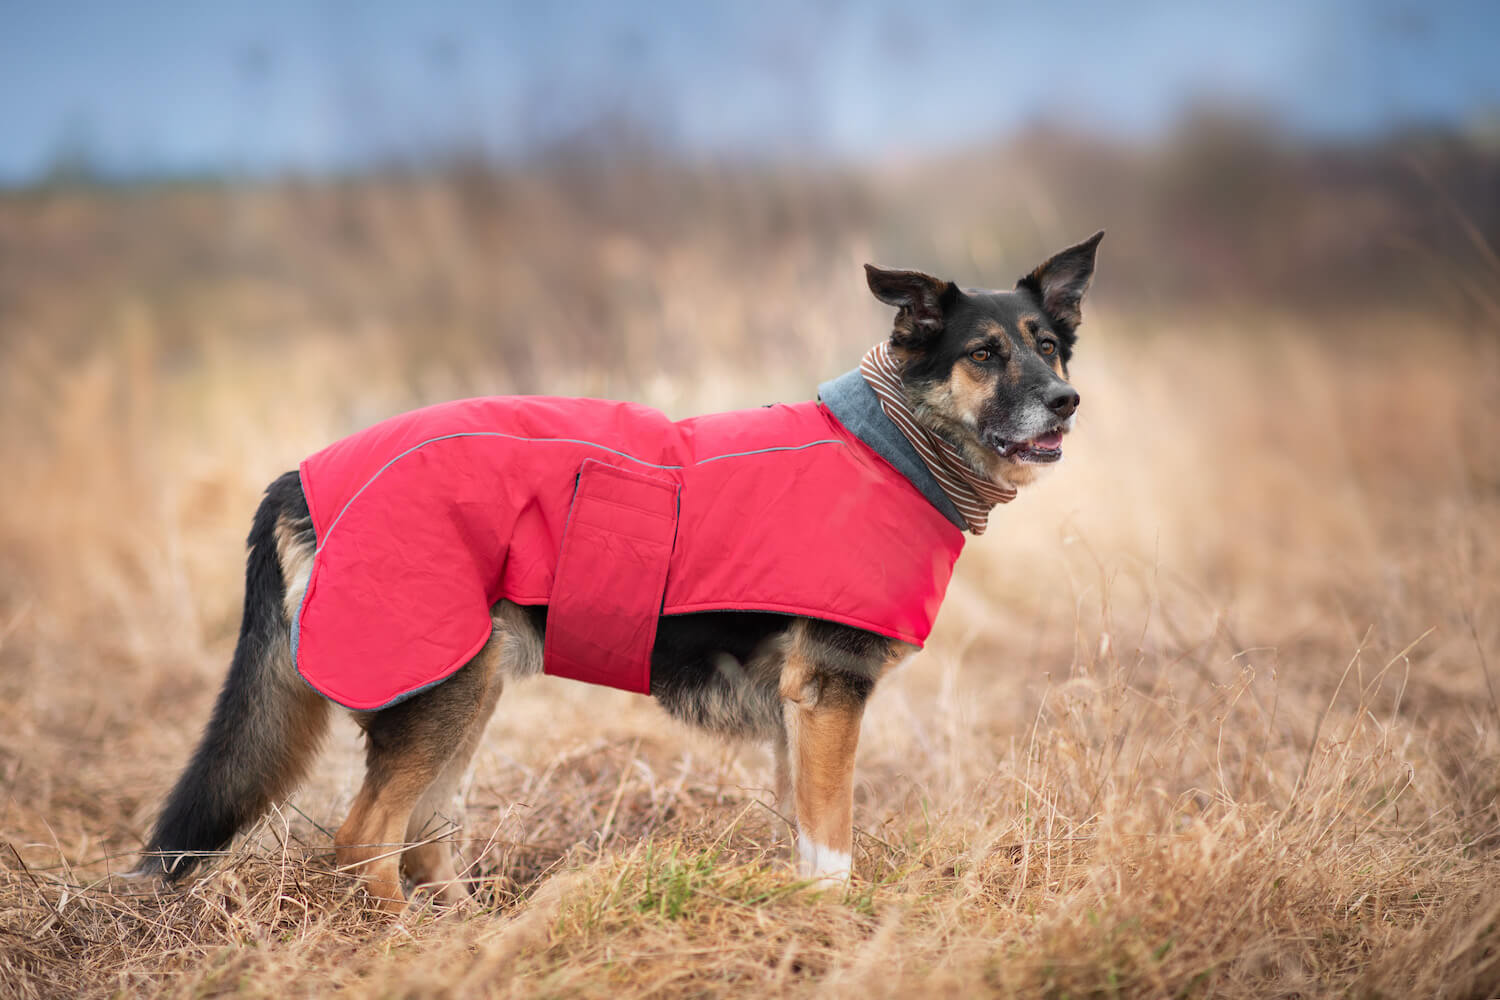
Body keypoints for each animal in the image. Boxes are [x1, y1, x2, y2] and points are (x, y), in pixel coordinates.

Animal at [138, 232, 1104, 917]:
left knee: (421, 835)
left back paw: (466, 929)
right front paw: (834, 918)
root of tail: (297, 477)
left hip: (470, 687)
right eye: (983, 354)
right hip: (436, 685)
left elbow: (802, 830)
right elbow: (832, 844)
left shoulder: (802, 717)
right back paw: (407, 940)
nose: (1066, 402)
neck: (895, 446)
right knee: (365, 838)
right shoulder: (830, 696)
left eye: (1049, 346)